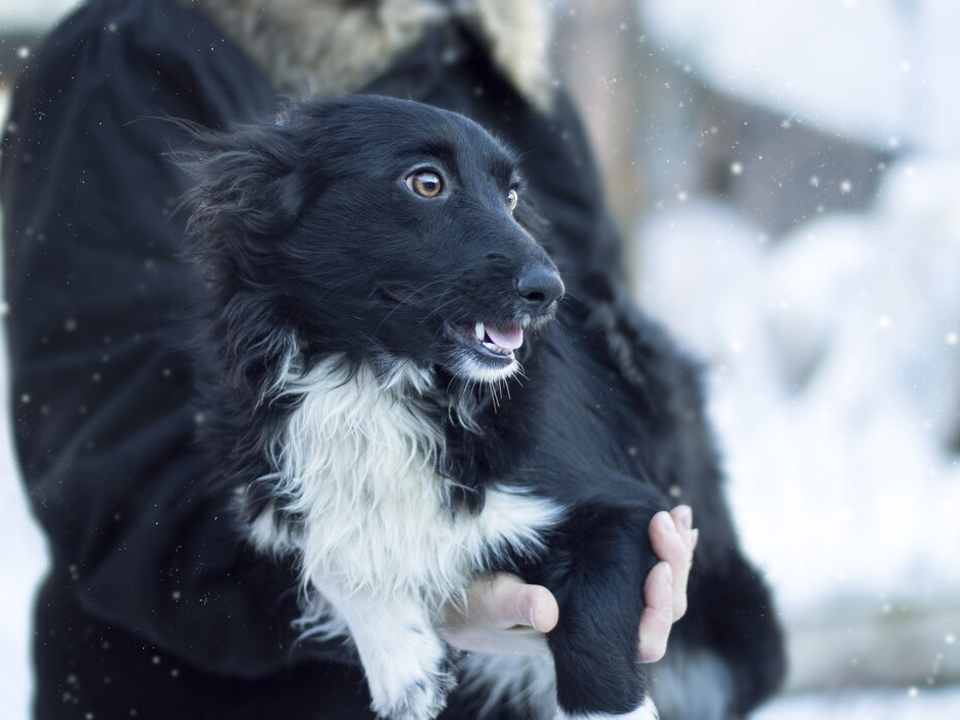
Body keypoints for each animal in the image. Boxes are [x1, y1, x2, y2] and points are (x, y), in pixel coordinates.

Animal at [184, 97, 784, 720]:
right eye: (427, 182)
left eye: (513, 197)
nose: (550, 291)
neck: (375, 380)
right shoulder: (272, 480)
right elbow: (329, 542)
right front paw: (404, 666)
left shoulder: (631, 508)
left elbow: (592, 632)